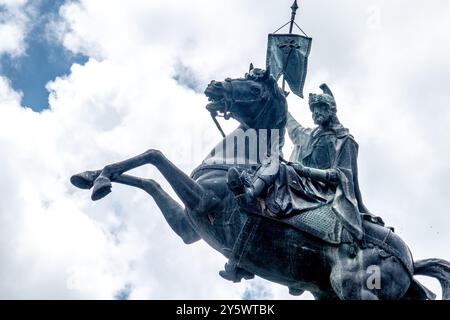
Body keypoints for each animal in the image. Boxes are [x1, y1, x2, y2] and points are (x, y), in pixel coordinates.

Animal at [70, 66, 450, 298]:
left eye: (253, 86)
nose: (213, 86)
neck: (238, 161)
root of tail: (410, 260)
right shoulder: (188, 227)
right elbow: (149, 180)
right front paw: (90, 177)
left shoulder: (203, 201)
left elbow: (154, 155)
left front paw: (100, 180)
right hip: (326, 291)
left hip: (355, 289)